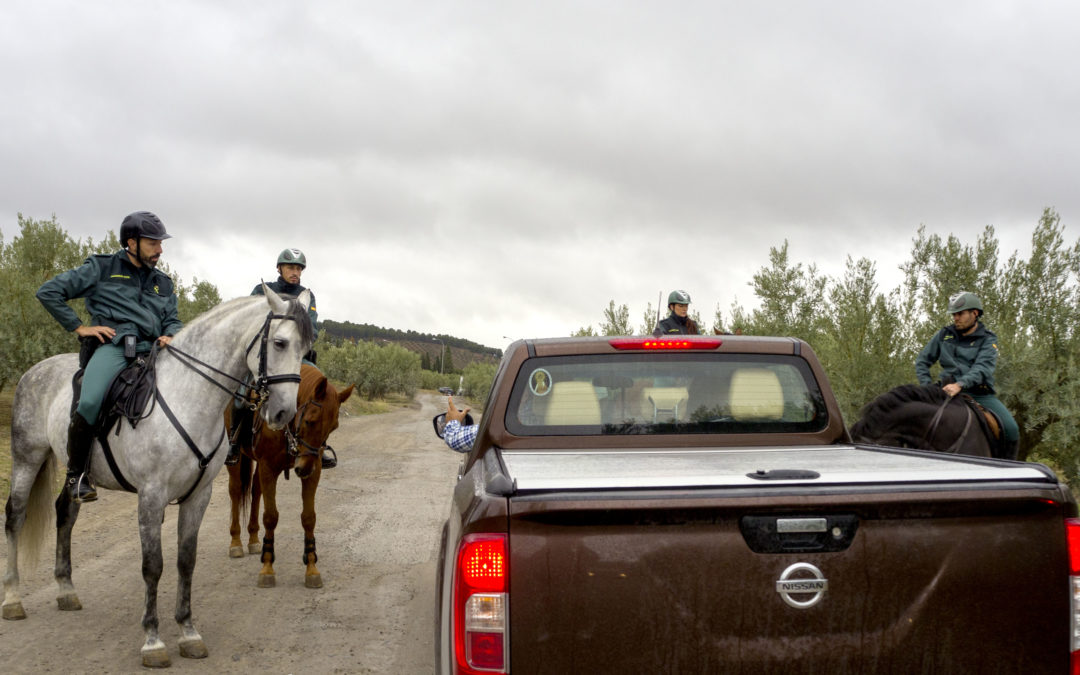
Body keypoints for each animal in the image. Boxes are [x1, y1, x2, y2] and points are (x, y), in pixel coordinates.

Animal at [4, 287, 315, 665]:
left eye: (306, 348)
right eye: (281, 343)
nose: (283, 413)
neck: (190, 396)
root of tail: (36, 369)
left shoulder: (198, 496)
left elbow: (185, 561)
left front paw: (188, 632)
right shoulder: (151, 496)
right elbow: (153, 566)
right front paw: (153, 640)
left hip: (73, 473)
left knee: (65, 512)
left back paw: (66, 591)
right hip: (27, 458)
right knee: (15, 518)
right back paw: (13, 599)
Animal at [223, 362, 354, 583]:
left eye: (333, 427)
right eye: (310, 420)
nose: (304, 468)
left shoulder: (313, 472)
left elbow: (309, 517)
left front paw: (312, 568)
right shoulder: (268, 467)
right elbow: (271, 516)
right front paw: (267, 569)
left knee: (256, 492)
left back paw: (253, 539)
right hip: (237, 456)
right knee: (236, 490)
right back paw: (236, 543)